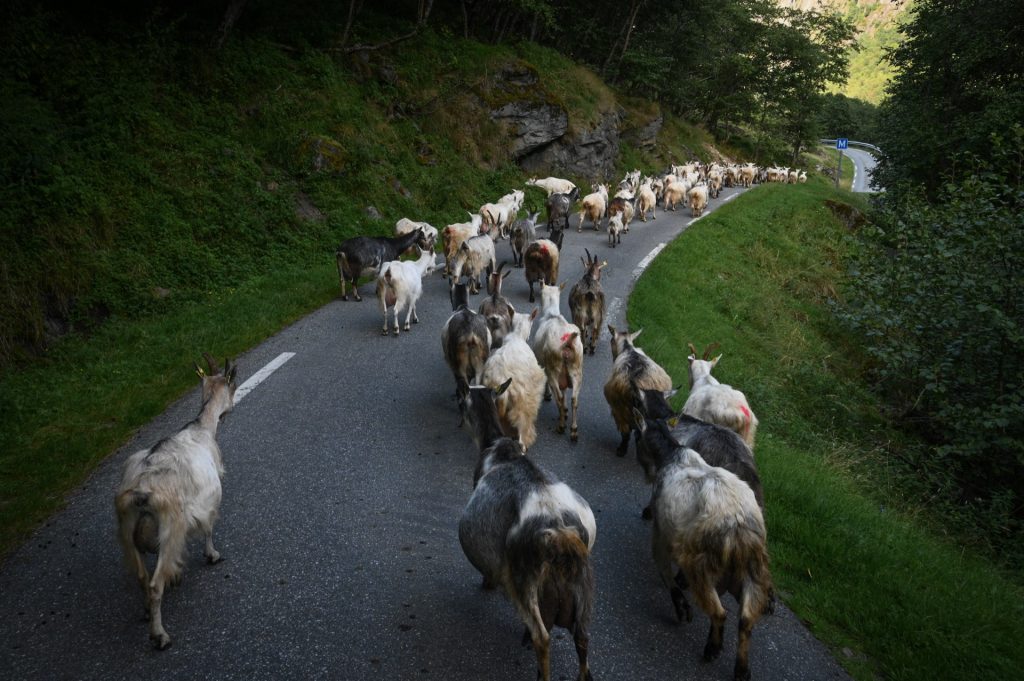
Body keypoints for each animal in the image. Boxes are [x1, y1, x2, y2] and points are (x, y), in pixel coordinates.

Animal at [114, 356, 237, 647]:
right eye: (233, 386)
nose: (230, 409)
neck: (200, 428)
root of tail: (141, 494)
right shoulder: (209, 499)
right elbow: (208, 527)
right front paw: (212, 555)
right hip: (172, 525)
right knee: (154, 584)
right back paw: (160, 636)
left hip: (126, 529)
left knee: (141, 576)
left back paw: (148, 611)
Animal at [458, 382, 598, 679]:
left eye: (460, 402)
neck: (496, 446)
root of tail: (559, 531)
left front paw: (487, 584)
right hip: (582, 580)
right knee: (582, 636)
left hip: (524, 576)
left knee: (542, 637)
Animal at [532, 280, 581, 440]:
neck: (551, 315)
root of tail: (567, 342)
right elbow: (565, 391)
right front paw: (564, 412)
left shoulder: (544, 364)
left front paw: (548, 396)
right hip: (576, 369)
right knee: (574, 399)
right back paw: (573, 430)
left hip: (554, 368)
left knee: (558, 396)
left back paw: (561, 427)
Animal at [598, 325, 671, 456]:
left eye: (611, 340)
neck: (628, 348)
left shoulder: (618, 411)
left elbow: (626, 434)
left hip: (620, 410)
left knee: (625, 433)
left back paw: (622, 450)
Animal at [630, 411, 770, 675]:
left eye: (636, 437)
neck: (673, 455)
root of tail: (738, 528)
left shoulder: (662, 536)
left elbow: (666, 574)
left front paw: (682, 609)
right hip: (751, 570)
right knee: (746, 620)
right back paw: (741, 669)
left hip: (702, 567)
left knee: (720, 612)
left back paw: (712, 648)